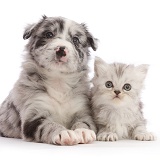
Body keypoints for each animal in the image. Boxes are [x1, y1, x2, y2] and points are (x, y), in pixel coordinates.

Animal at [0, 15, 97, 146]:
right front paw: (64, 133)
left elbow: (85, 122)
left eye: (76, 40)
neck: (58, 80)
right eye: (49, 34)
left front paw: (83, 131)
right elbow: (48, 125)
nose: (61, 49)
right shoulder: (34, 115)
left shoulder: (82, 109)